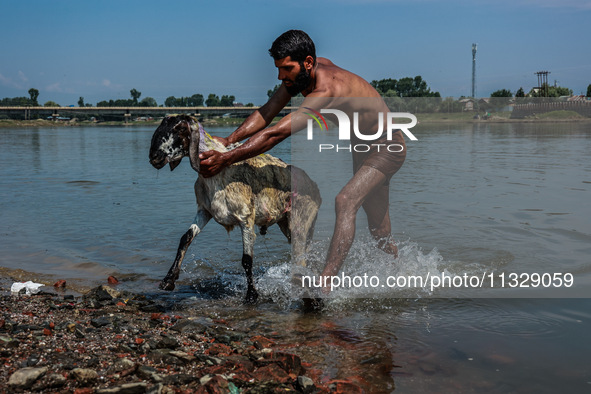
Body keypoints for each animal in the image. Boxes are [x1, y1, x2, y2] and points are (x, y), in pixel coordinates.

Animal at [150, 112, 322, 304]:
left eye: (180, 128)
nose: (155, 158)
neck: (218, 176)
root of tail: (314, 185)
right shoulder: (205, 210)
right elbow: (185, 238)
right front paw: (168, 280)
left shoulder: (245, 218)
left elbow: (247, 260)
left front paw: (252, 295)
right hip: (286, 222)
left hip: (301, 219)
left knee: (302, 256)